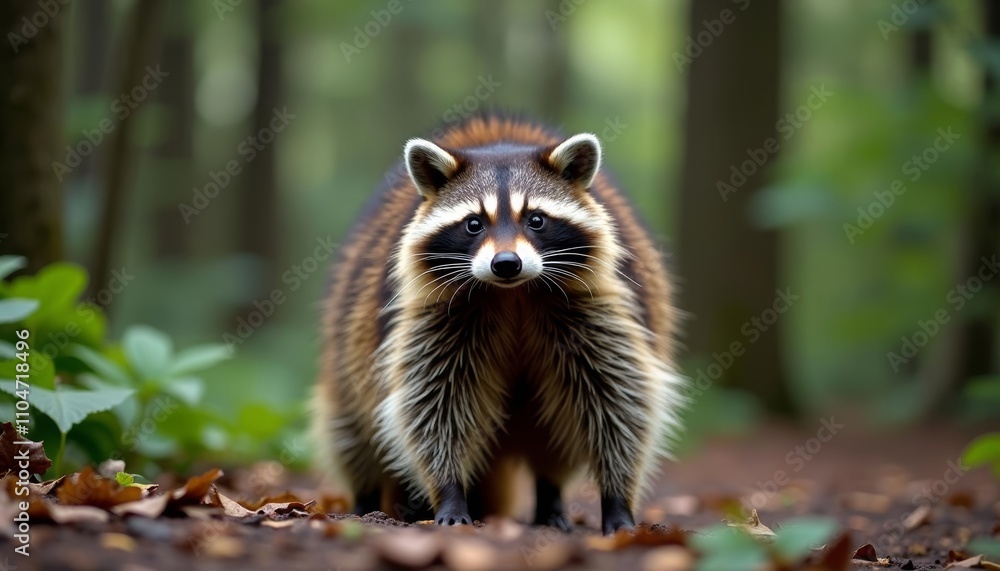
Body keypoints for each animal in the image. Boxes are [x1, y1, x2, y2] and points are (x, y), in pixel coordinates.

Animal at [315, 115, 684, 534]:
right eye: (474, 224)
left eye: (536, 219)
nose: (506, 263)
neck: (513, 294)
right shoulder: (434, 316)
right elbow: (434, 403)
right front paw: (450, 490)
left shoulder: (598, 306)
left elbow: (618, 398)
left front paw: (617, 497)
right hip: (348, 342)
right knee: (353, 434)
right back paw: (368, 498)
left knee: (556, 441)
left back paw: (550, 497)